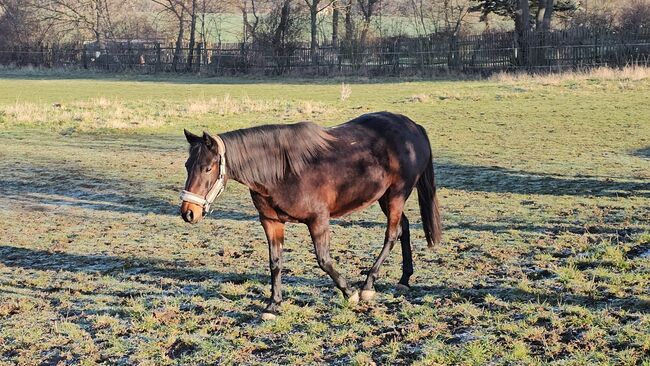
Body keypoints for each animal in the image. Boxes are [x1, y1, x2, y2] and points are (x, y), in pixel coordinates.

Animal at [180, 111, 438, 320]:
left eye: (208, 168)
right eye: (186, 165)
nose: (188, 212)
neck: (282, 171)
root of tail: (413, 126)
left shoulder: (318, 220)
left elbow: (323, 260)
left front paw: (350, 293)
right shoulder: (271, 222)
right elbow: (275, 263)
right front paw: (273, 305)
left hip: (396, 195)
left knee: (392, 234)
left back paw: (368, 285)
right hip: (385, 197)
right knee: (404, 227)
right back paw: (404, 279)